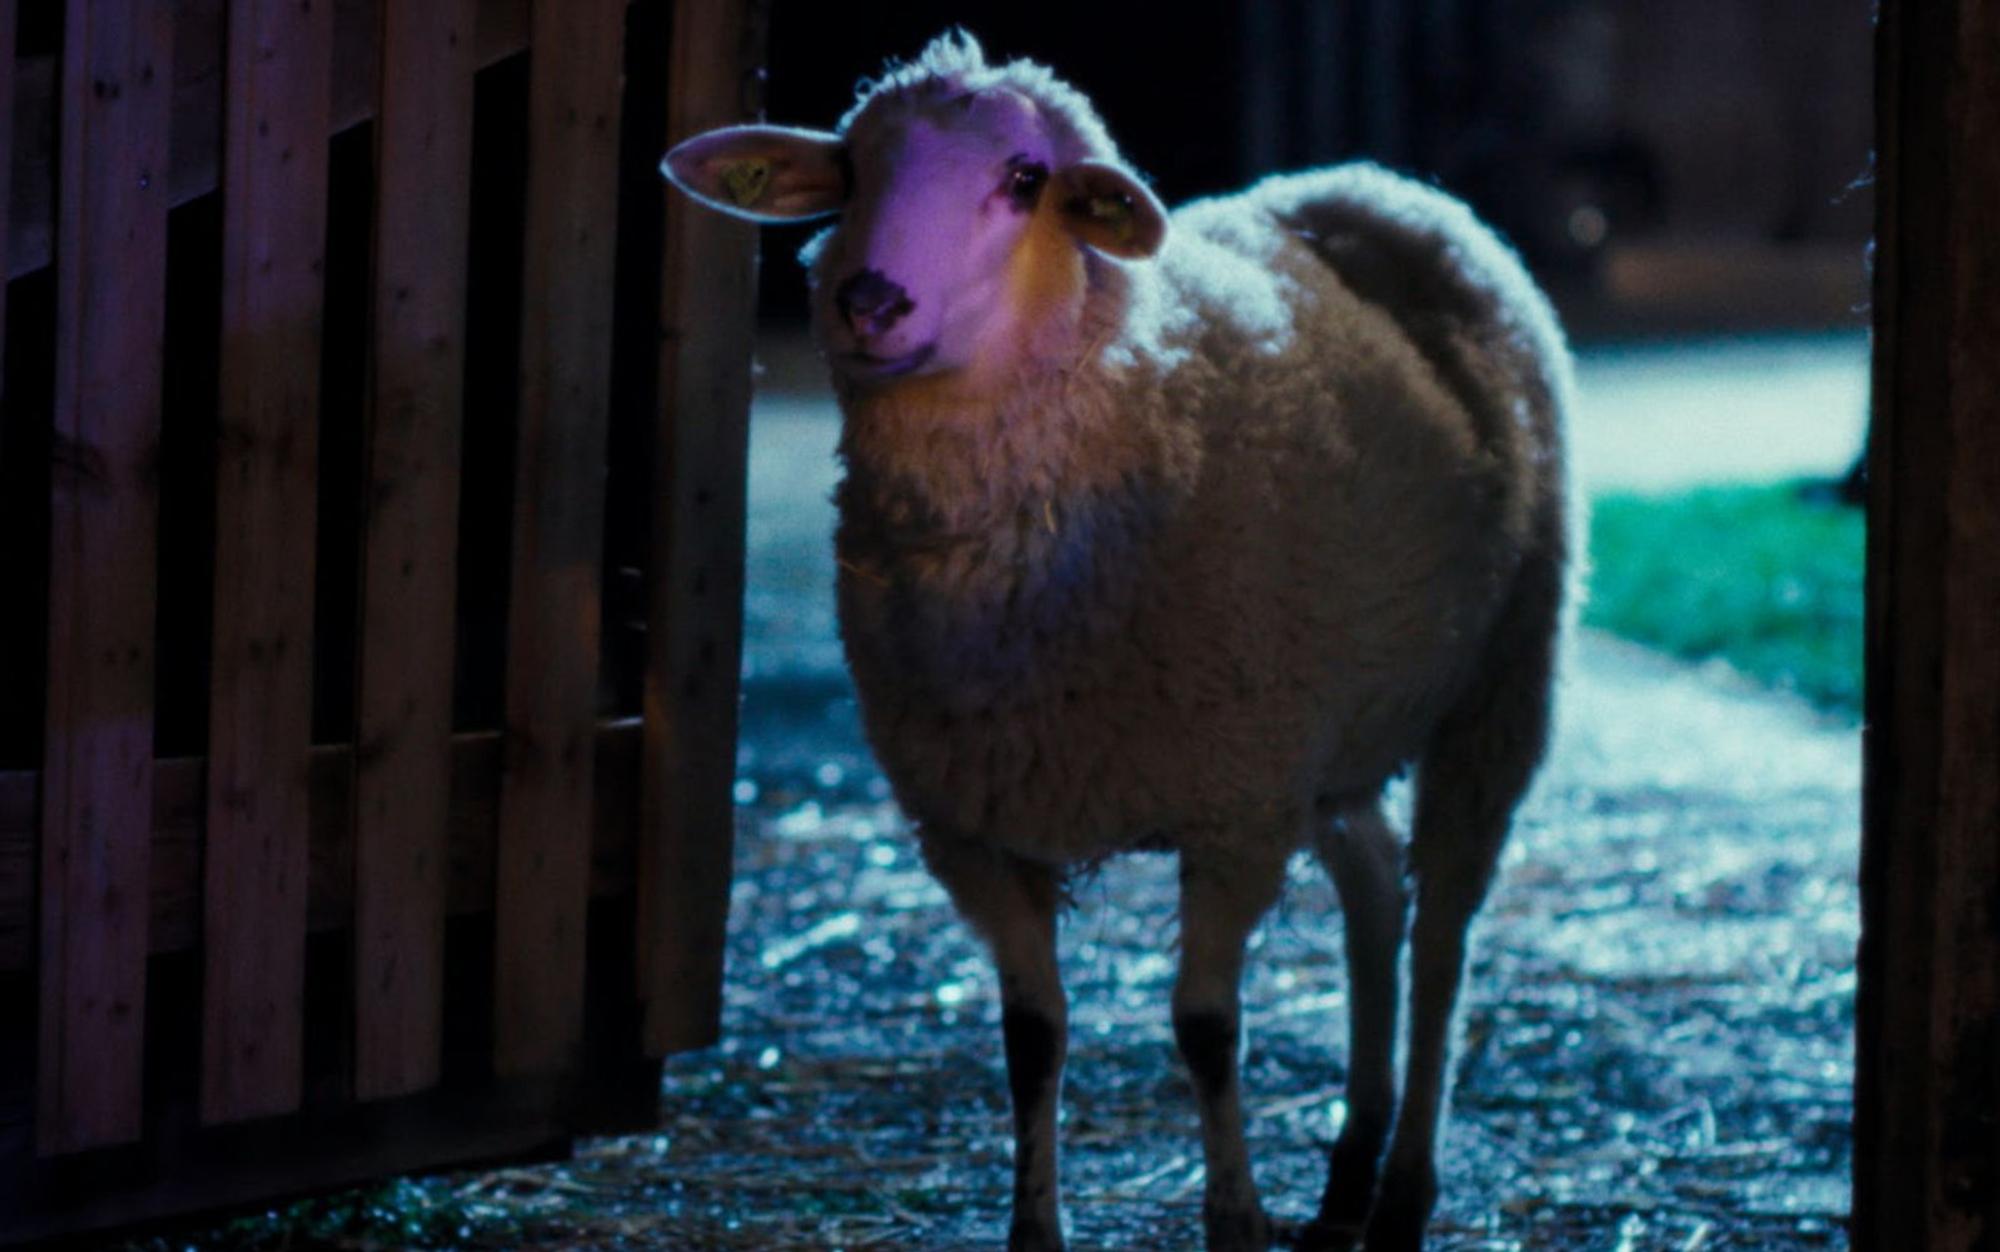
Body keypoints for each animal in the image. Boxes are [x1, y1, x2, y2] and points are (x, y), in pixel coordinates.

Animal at [663, 30, 1574, 1252]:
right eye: (849, 172)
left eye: (1023, 179)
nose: (869, 301)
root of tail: (1371, 182)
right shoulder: (975, 829)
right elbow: (1030, 1039)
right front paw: (1034, 1229)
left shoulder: (1233, 809)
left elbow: (1206, 1028)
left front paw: (1233, 1218)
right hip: (1328, 730)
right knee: (1378, 892)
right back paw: (1346, 1172)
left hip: (1501, 681)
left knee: (1442, 937)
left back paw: (1401, 1192)